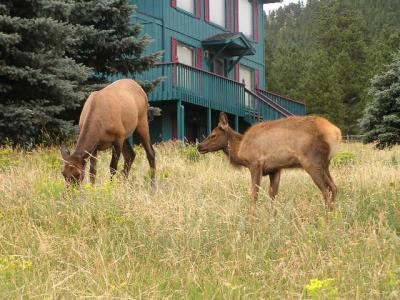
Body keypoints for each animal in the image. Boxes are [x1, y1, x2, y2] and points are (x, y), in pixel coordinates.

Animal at [197, 112, 340, 220]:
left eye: (213, 135)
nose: (199, 146)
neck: (240, 150)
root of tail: (336, 133)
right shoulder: (275, 169)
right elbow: (273, 195)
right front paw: (273, 219)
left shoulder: (255, 164)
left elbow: (254, 194)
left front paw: (250, 220)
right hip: (325, 165)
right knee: (334, 187)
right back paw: (333, 217)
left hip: (312, 162)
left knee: (326, 190)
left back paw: (326, 219)